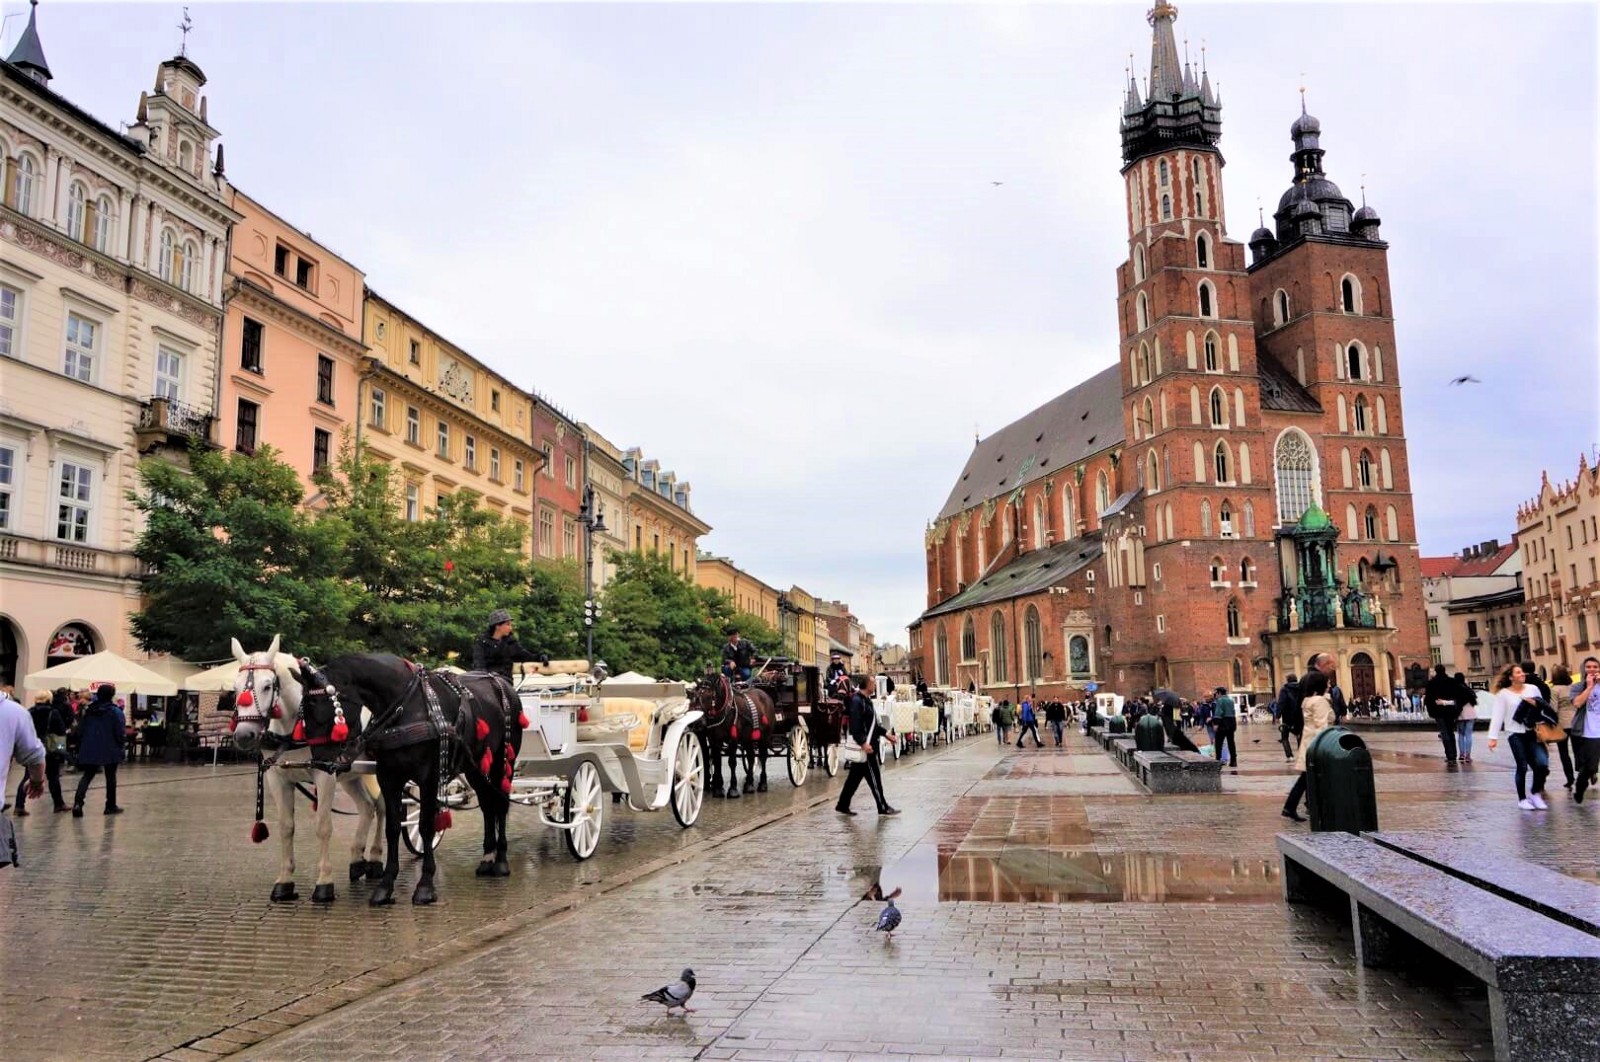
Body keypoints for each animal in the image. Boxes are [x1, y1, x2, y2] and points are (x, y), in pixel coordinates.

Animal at [228, 639, 387, 902]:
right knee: (368, 807)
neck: (298, 722)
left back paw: (375, 857)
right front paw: (285, 880)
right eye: (235, 688)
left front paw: (324, 882)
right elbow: (286, 827)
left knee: (385, 807)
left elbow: (323, 827)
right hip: (351, 775)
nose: (244, 735)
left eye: (267, 686)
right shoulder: (277, 778)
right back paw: (357, 859)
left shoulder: (325, 775)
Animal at [307, 655, 518, 902]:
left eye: (321, 708)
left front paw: (425, 885)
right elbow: (392, 828)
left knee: (500, 805)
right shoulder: (388, 778)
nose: (320, 764)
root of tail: (502, 683)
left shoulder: (429, 778)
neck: (405, 707)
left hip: (502, 763)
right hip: (475, 768)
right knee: (487, 806)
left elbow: (426, 826)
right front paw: (385, 886)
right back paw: (487, 858)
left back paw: (501, 861)